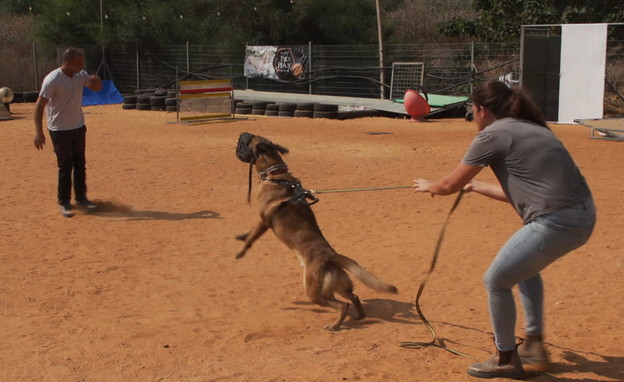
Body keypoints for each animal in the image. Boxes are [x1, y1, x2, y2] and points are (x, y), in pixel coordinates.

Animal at [234, 133, 400, 330]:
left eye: (248, 139)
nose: (241, 135)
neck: (275, 175)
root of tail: (331, 256)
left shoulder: (264, 221)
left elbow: (251, 238)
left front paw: (241, 251)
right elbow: (249, 232)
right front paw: (241, 235)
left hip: (314, 291)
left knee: (343, 305)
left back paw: (335, 326)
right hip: (338, 285)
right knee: (353, 297)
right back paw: (359, 316)